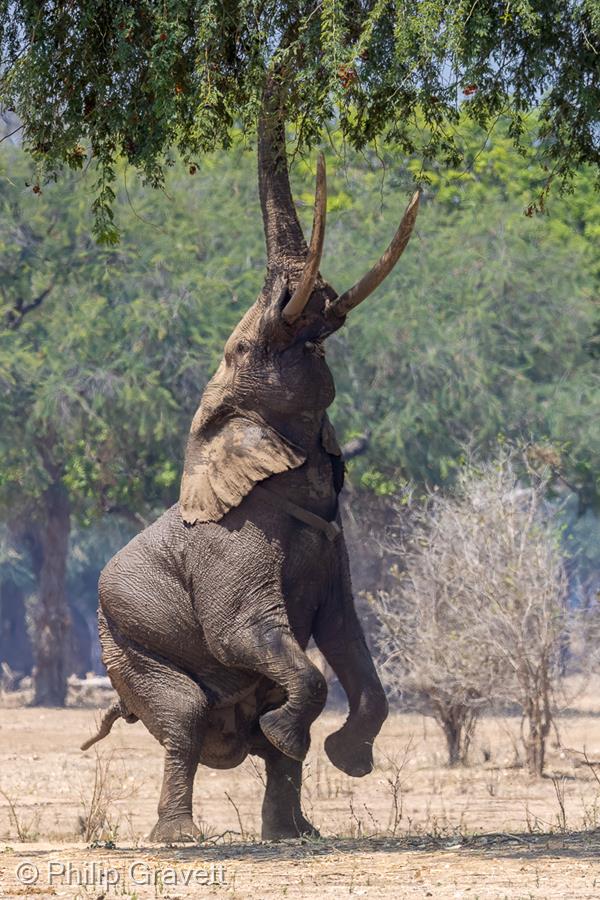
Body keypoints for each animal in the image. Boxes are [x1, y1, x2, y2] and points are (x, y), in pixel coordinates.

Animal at [82, 95, 420, 840]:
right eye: (241, 350)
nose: (317, 304)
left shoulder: (334, 547)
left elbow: (348, 640)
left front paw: (348, 758)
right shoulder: (229, 548)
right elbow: (248, 634)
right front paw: (306, 737)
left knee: (258, 741)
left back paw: (293, 832)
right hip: (127, 641)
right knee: (183, 716)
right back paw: (182, 838)